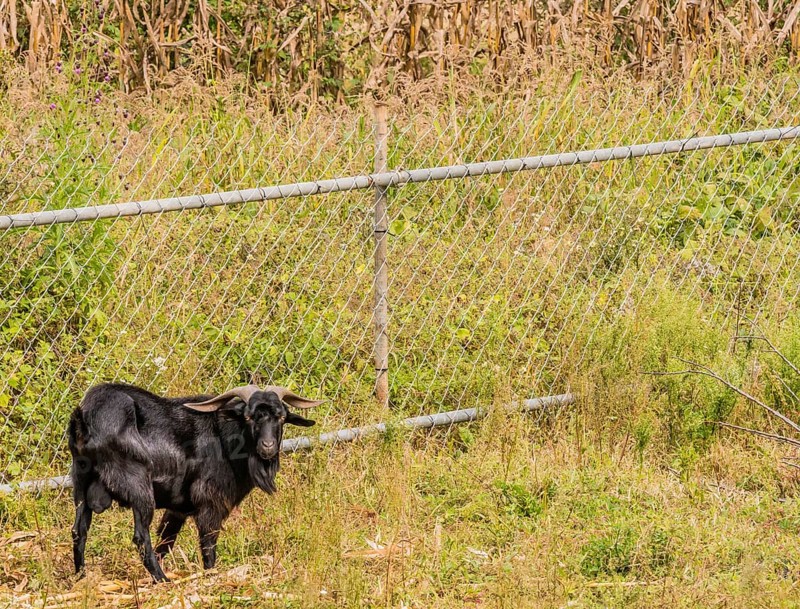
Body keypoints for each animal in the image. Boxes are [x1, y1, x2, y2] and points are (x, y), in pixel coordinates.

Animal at [68, 382, 322, 582]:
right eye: (249, 416)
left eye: (281, 416)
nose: (267, 446)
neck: (225, 439)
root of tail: (85, 419)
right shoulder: (211, 503)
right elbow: (208, 547)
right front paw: (211, 576)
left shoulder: (177, 510)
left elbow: (166, 543)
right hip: (139, 487)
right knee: (140, 537)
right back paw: (163, 580)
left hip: (80, 482)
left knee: (79, 531)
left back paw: (81, 578)